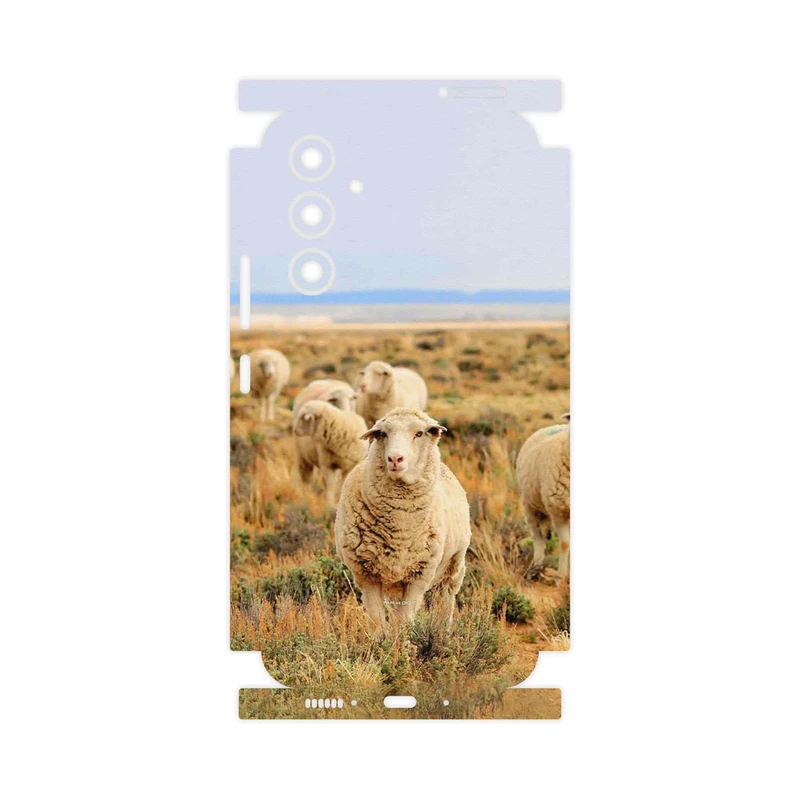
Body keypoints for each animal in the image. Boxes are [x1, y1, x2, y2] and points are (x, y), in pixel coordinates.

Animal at [335, 408, 471, 632]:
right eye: (383, 434)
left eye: (419, 433)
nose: (395, 458)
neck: (400, 527)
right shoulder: (366, 575)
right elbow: (377, 622)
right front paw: (382, 641)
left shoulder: (419, 575)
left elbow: (405, 621)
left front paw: (404, 641)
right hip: (394, 582)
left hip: (453, 565)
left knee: (445, 599)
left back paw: (441, 632)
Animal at [516, 413, 570, 580]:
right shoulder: (558, 511)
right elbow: (565, 543)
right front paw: (560, 577)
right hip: (530, 507)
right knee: (538, 538)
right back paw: (535, 567)